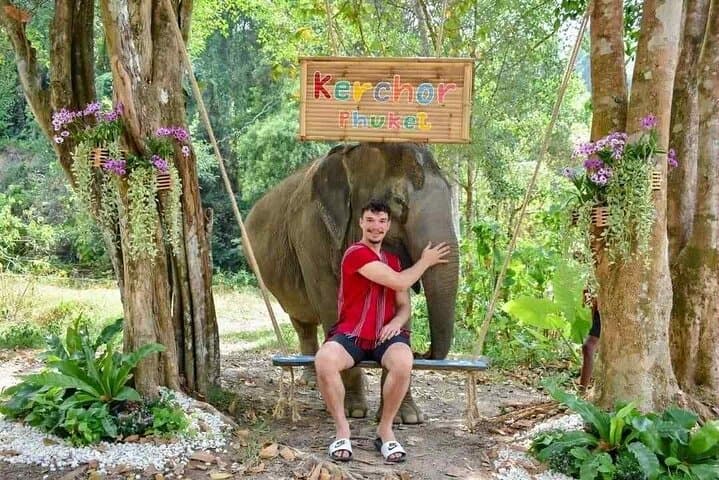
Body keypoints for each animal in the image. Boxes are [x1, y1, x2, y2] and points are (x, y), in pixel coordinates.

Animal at [245, 142, 459, 423]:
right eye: (398, 202)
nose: (420, 354)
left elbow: (399, 302)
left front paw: (407, 418)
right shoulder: (310, 233)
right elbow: (331, 303)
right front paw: (354, 411)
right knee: (302, 322)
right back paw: (313, 381)